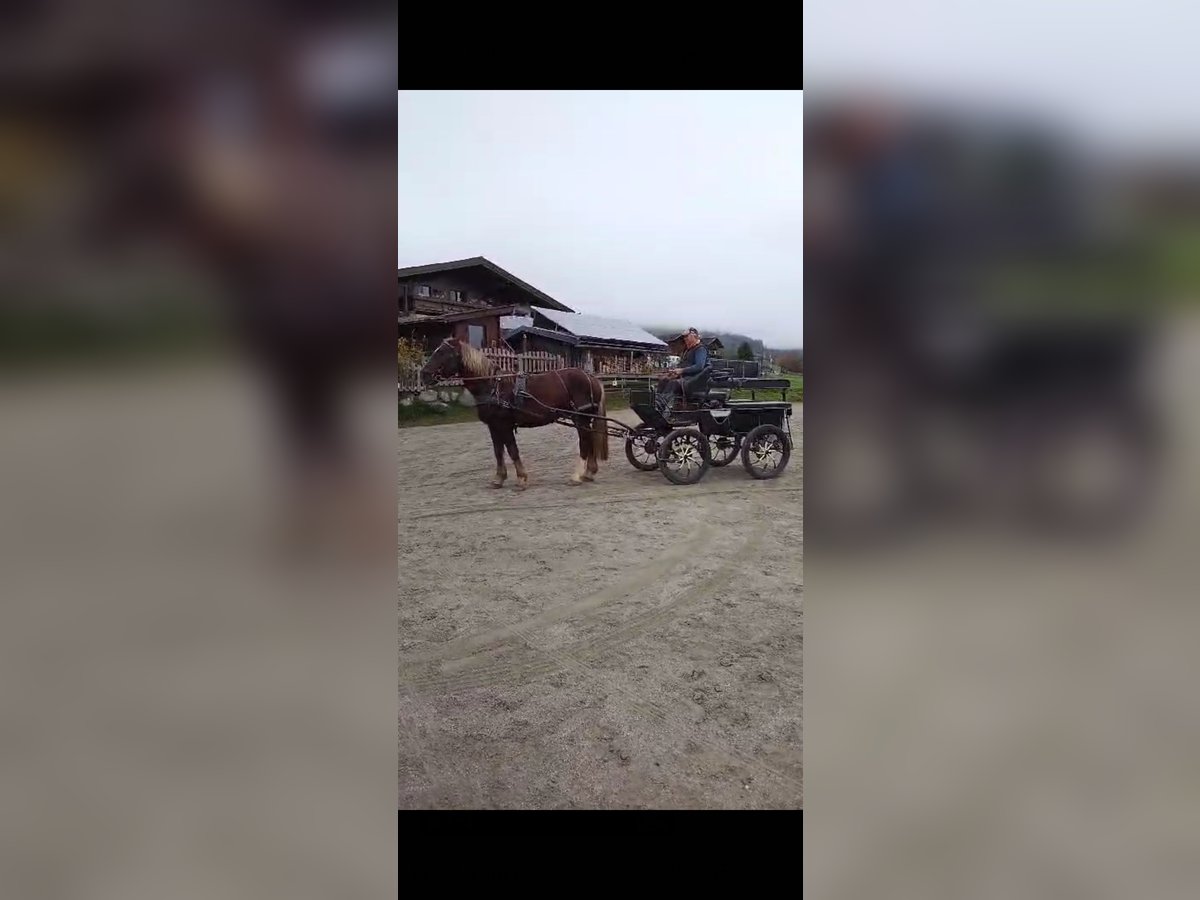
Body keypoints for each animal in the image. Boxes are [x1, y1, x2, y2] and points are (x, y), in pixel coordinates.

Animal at [422, 338, 609, 489]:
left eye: (443, 353)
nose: (424, 374)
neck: (493, 386)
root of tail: (591, 377)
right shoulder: (493, 426)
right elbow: (498, 452)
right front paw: (499, 478)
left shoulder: (504, 425)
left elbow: (512, 450)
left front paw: (521, 478)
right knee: (590, 441)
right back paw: (589, 473)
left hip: (580, 418)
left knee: (585, 442)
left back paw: (576, 476)